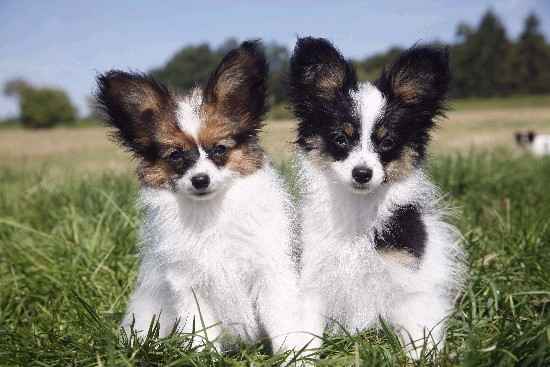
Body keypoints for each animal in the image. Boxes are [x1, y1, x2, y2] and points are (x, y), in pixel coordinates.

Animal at [97, 41, 308, 356]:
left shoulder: (270, 273)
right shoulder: (189, 287)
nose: (200, 180)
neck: (210, 212)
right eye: (176, 156)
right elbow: (200, 331)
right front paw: (202, 356)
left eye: (219, 149)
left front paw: (296, 355)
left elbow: (283, 321)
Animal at [288, 36, 466, 356]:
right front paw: (301, 357)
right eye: (340, 138)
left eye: (387, 142)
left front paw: (419, 357)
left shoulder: (407, 276)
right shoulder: (314, 275)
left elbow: (418, 332)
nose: (362, 173)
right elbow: (306, 332)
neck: (359, 209)